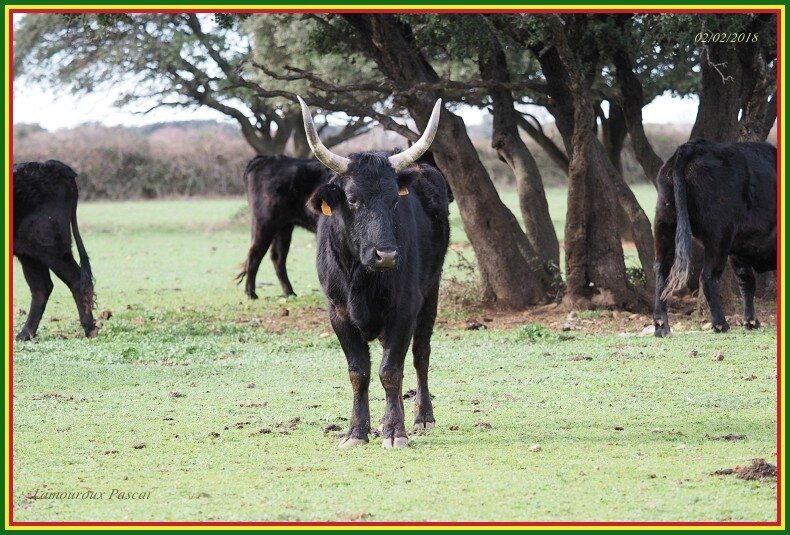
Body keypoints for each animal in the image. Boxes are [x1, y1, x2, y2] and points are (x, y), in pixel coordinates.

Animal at [12, 161, 97, 342]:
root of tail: (52, 165)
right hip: (30, 253)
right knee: (41, 287)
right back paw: (25, 334)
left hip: (50, 246)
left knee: (76, 280)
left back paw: (90, 329)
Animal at [237, 155, 332, 300]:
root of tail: (265, 159)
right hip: (265, 223)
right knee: (254, 254)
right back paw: (251, 293)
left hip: (284, 227)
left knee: (277, 257)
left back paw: (289, 292)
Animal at [300, 97, 452, 448]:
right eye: (353, 199)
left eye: (395, 200)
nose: (387, 254)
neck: (362, 278)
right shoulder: (338, 314)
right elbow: (359, 372)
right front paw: (357, 432)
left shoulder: (404, 309)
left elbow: (390, 370)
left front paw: (395, 431)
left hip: (431, 292)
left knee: (420, 352)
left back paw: (422, 417)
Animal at [652, 140, 776, 338]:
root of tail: (693, 146)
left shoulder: (739, 251)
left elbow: (747, 282)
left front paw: (751, 322)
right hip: (719, 236)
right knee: (708, 277)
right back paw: (720, 324)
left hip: (665, 224)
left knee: (662, 270)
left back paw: (661, 326)